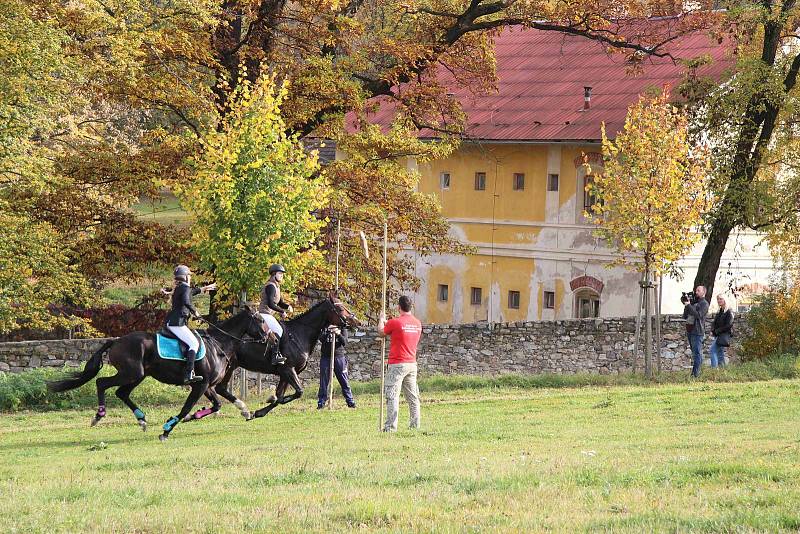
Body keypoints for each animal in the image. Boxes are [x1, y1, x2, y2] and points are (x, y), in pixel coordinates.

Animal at [48, 308, 268, 442]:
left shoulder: (206, 386)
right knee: (102, 383)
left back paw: (141, 419)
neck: (218, 345)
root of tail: (117, 341)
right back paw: (99, 416)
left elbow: (217, 404)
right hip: (131, 373)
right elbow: (187, 407)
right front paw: (167, 429)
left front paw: (243, 411)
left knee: (121, 393)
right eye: (260, 320)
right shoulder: (200, 384)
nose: (269, 337)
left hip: (138, 376)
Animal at [186, 298, 358, 422]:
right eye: (340, 308)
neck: (299, 334)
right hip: (229, 367)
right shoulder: (288, 370)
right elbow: (297, 393)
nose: (356, 321)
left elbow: (281, 397)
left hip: (231, 366)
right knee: (219, 388)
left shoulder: (286, 374)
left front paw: (261, 409)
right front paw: (263, 406)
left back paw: (243, 411)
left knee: (221, 388)